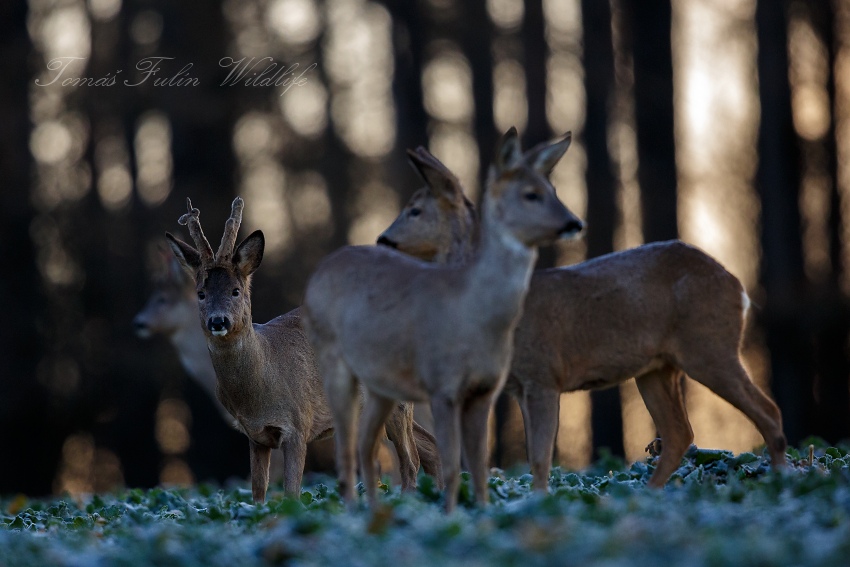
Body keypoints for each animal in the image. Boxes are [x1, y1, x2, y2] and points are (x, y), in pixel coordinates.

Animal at [165, 197, 442, 502]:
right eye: (201, 294)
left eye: (236, 291)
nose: (218, 321)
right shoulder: (255, 435)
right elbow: (258, 493)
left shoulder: (298, 424)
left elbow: (292, 494)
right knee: (430, 448)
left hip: (395, 398)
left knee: (411, 461)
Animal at [377, 147, 788, 493]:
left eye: (414, 209)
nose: (383, 239)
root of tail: (739, 288)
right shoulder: (519, 383)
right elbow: (533, 455)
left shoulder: (543, 373)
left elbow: (541, 457)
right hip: (657, 367)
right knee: (679, 433)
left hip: (709, 345)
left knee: (767, 411)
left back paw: (782, 483)